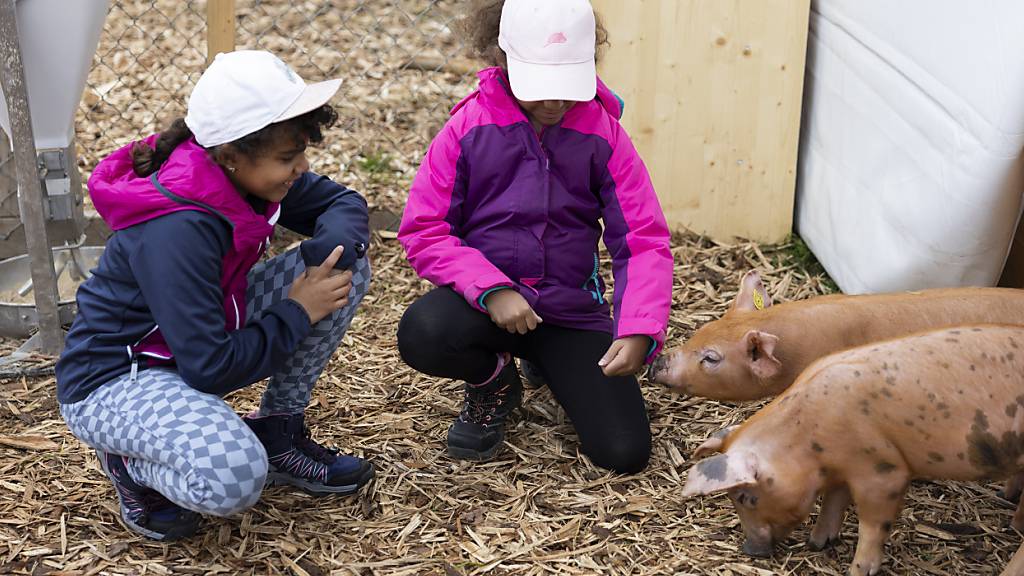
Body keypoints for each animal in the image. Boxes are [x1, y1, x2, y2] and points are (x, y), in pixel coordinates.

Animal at [679, 323, 1024, 573]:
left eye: (746, 497)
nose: (750, 550)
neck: (808, 439)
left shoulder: (884, 473)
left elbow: (872, 526)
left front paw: (857, 570)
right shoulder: (842, 468)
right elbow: (834, 500)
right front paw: (817, 543)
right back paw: (1007, 501)